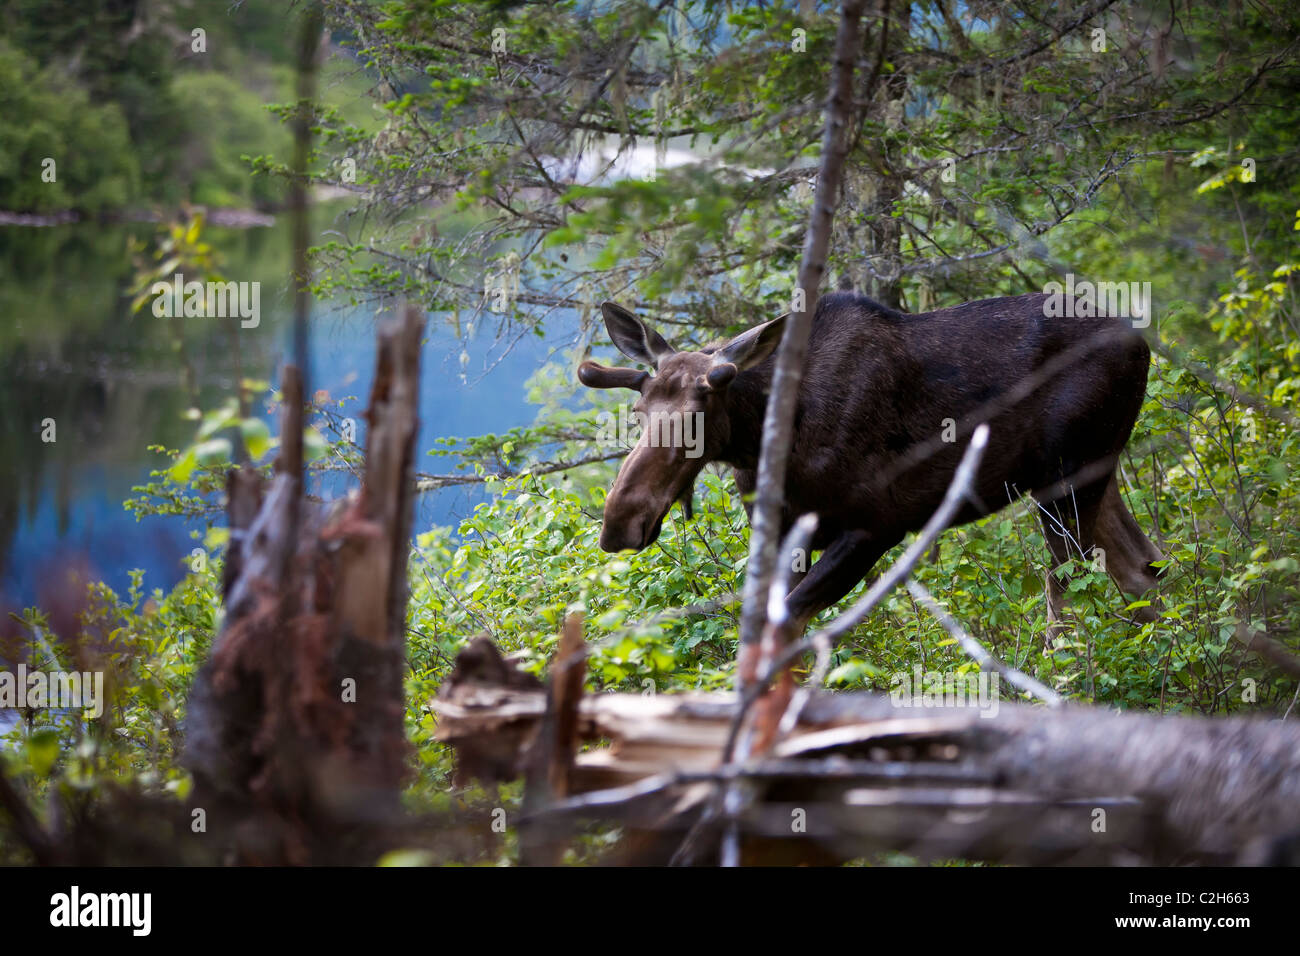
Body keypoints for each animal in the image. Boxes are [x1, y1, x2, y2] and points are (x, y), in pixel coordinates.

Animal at [579, 293, 1170, 642]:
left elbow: (786, 631)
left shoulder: (877, 526)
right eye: (639, 411)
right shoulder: (783, 533)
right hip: (1089, 474)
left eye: (700, 413)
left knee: (1065, 594)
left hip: (1066, 478)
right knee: (1143, 569)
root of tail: (1142, 342)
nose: (621, 521)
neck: (764, 442)